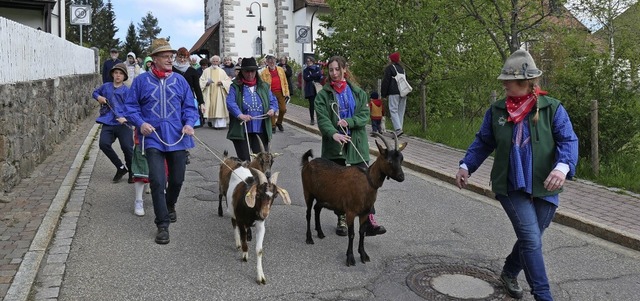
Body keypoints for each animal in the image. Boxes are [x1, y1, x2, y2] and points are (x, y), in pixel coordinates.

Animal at [302, 131, 410, 264]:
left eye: (401, 159)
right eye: (389, 160)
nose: (401, 177)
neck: (368, 181)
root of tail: (307, 163)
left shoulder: (364, 212)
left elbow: (362, 233)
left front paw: (363, 255)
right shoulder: (350, 212)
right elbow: (352, 234)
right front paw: (350, 257)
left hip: (322, 197)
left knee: (317, 209)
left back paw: (320, 233)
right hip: (308, 192)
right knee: (308, 214)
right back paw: (309, 238)